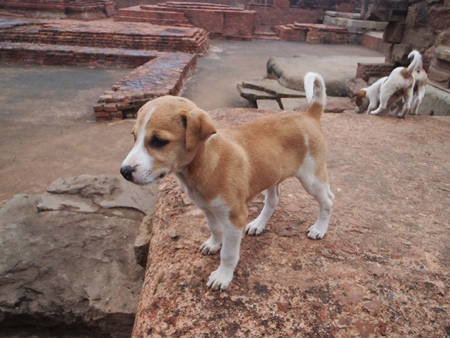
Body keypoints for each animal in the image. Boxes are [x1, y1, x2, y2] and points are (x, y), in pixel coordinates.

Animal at [119, 73, 334, 290]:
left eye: (159, 141)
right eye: (134, 136)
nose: (124, 172)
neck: (205, 164)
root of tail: (309, 114)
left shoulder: (234, 218)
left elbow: (229, 253)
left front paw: (223, 276)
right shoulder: (207, 208)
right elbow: (214, 229)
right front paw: (214, 244)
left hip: (311, 177)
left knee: (328, 200)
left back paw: (319, 229)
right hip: (273, 174)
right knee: (273, 201)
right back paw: (258, 224)